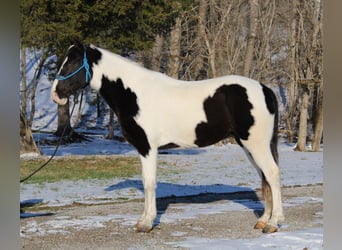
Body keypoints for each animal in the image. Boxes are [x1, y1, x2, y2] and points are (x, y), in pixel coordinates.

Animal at [50, 41, 284, 234]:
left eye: (73, 62)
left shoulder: (148, 148)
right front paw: (143, 220)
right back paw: (263, 220)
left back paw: (273, 223)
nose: (56, 94)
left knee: (272, 174)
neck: (135, 94)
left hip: (256, 145)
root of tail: (264, 89)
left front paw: (146, 223)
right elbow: (147, 182)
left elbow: (149, 182)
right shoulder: (144, 148)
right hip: (249, 146)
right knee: (264, 177)